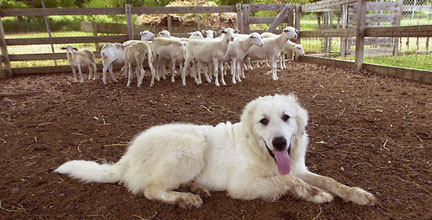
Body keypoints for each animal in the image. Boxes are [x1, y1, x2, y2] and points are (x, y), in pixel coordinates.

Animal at [55, 94, 376, 208]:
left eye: (286, 118)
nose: (280, 143)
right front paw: (316, 195)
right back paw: (185, 198)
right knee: (151, 190)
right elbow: (287, 181)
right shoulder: (243, 186)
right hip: (192, 146)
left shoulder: (300, 168)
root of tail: (126, 158)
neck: (261, 152)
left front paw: (357, 193)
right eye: (263, 121)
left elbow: (329, 180)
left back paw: (196, 188)